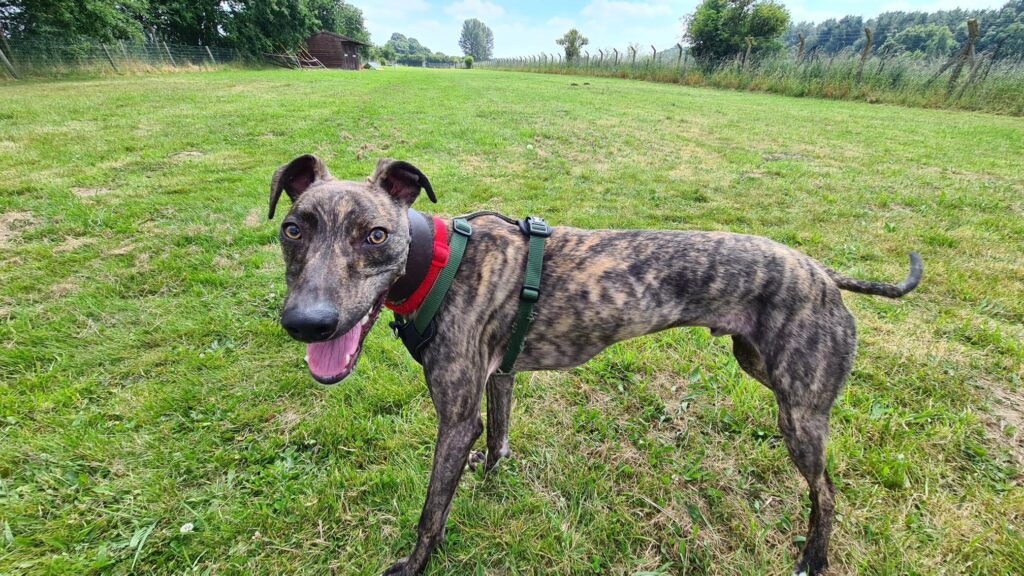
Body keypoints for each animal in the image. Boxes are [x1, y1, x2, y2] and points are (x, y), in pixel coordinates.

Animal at [268, 153, 925, 573]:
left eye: (375, 235)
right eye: (293, 229)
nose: (307, 322)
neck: (436, 261)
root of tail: (823, 273)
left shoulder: (454, 417)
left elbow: (433, 509)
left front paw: (412, 564)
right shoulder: (498, 375)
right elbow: (499, 435)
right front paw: (491, 474)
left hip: (799, 413)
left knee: (828, 492)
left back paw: (813, 559)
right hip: (762, 367)